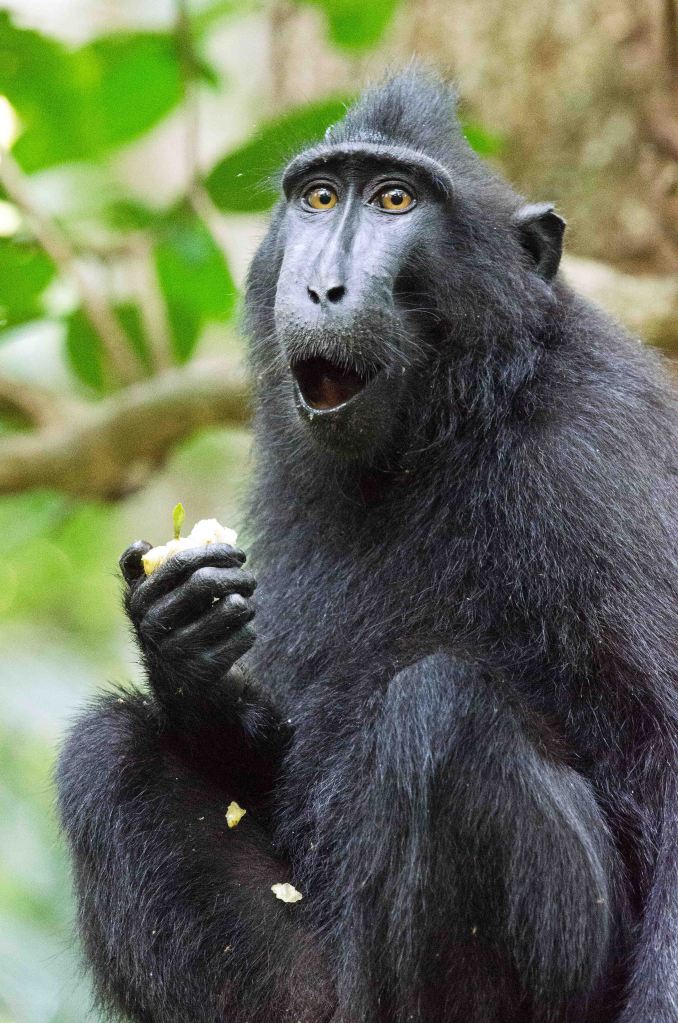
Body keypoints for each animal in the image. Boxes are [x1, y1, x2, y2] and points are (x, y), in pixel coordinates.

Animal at [57, 69, 677, 1023]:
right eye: (319, 198)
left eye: (395, 200)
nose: (321, 289)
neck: (447, 426)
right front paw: (178, 635)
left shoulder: (598, 454)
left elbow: (665, 760)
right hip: (313, 990)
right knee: (104, 750)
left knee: (439, 710)